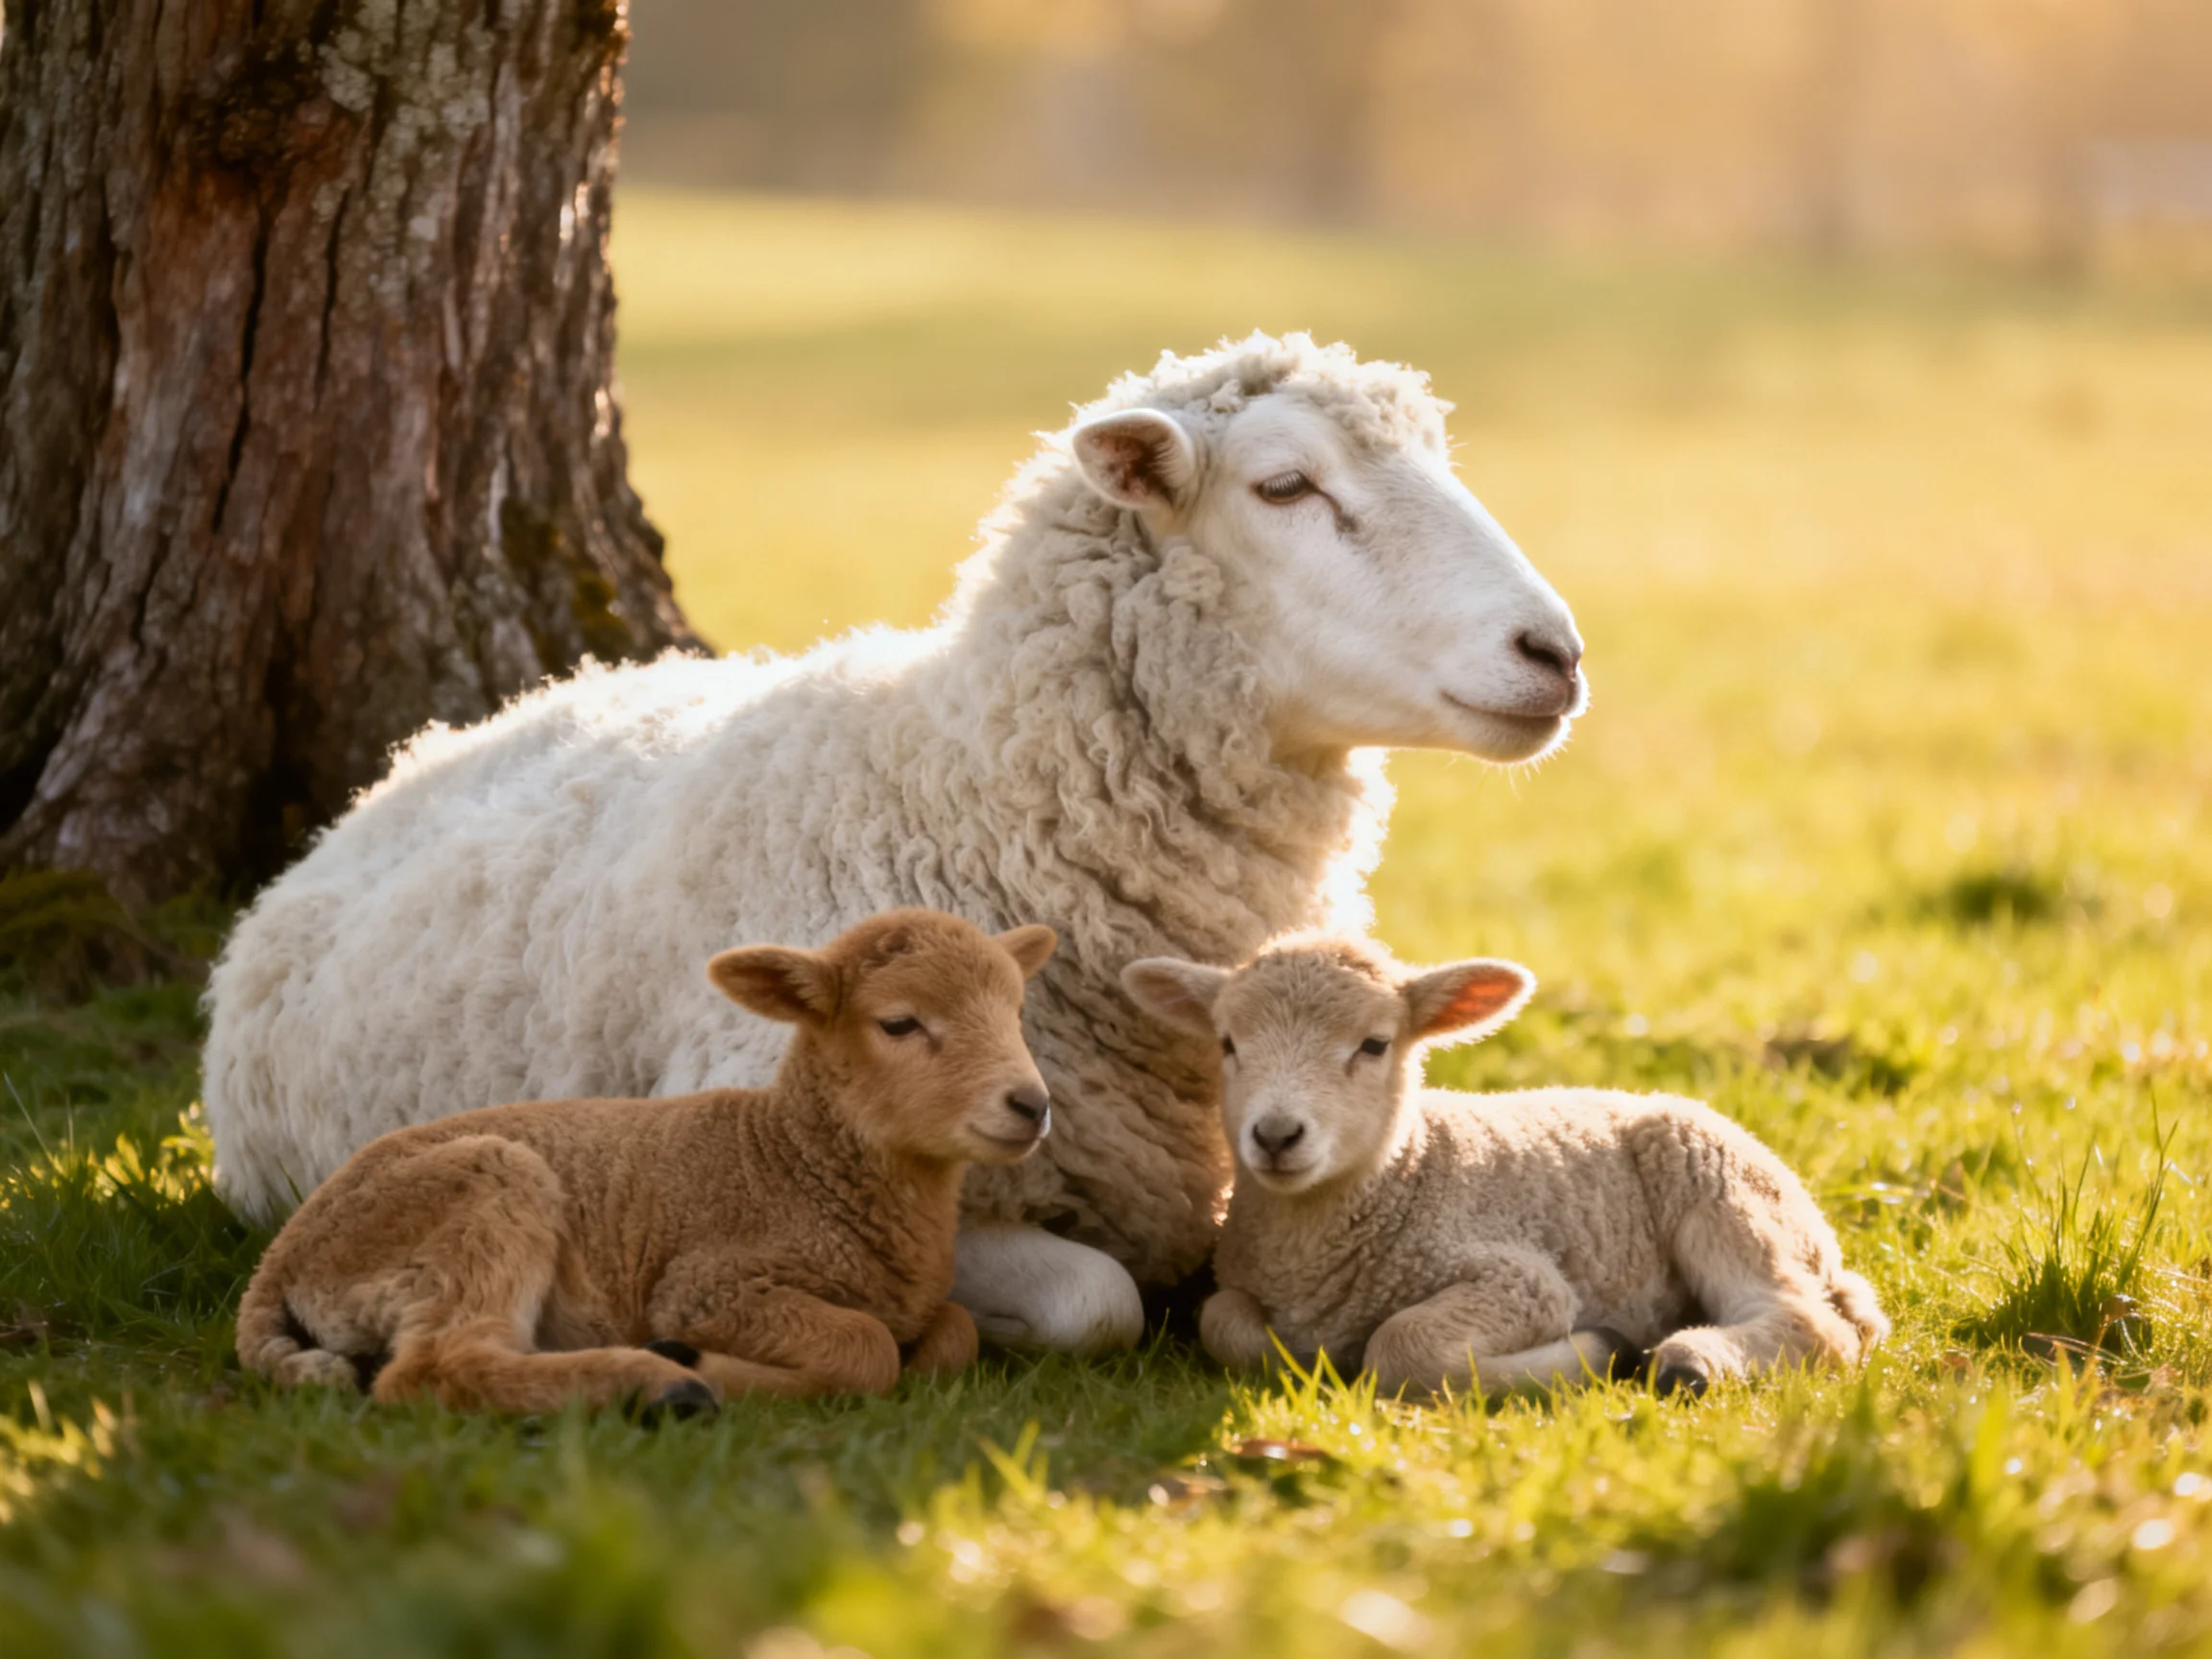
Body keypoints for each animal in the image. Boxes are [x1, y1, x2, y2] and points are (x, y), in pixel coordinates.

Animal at [234, 910, 1058, 1413]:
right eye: (899, 1023)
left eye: (1017, 1013)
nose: (1031, 1104)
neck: (796, 1159)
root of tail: (280, 1262)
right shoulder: (709, 1285)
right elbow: (868, 1348)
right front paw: (705, 1365)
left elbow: (955, 1329)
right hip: (477, 1195)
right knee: (433, 1369)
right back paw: (657, 1384)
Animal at [1122, 937, 1889, 1396]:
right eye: (1227, 1043)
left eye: (1374, 1045)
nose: (1276, 1135)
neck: (1407, 1174)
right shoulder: (1241, 1287)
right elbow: (1225, 1323)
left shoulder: (1520, 1279)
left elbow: (1400, 1347)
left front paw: (1600, 1349)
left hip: (1717, 1185)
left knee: (1811, 1325)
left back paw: (1689, 1361)